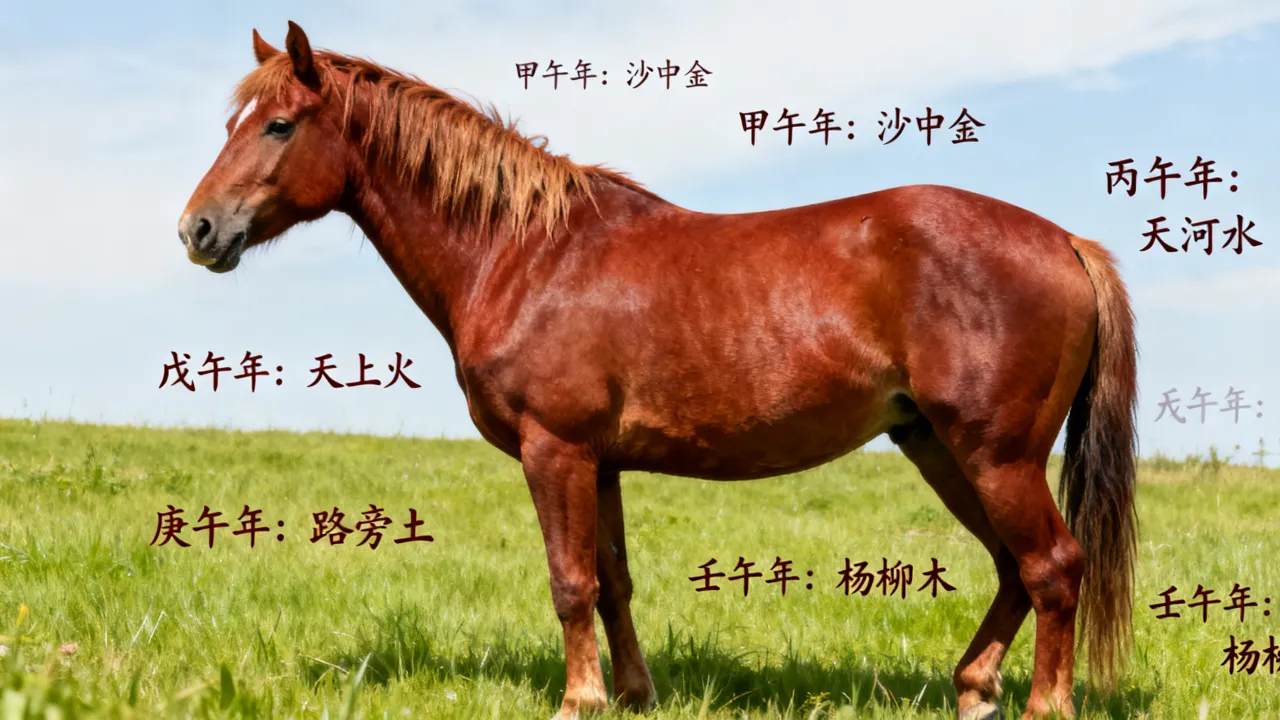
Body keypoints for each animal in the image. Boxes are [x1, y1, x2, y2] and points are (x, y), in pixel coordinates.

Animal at [179, 22, 1138, 720]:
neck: (527, 254)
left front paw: (579, 701)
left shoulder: (555, 450)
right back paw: (973, 689)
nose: (198, 230)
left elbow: (569, 582)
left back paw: (1043, 707)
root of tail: (1065, 241)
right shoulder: (599, 462)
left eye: (278, 125)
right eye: (229, 125)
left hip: (994, 453)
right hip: (938, 447)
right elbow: (612, 581)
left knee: (1053, 565)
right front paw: (633, 694)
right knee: (1015, 567)